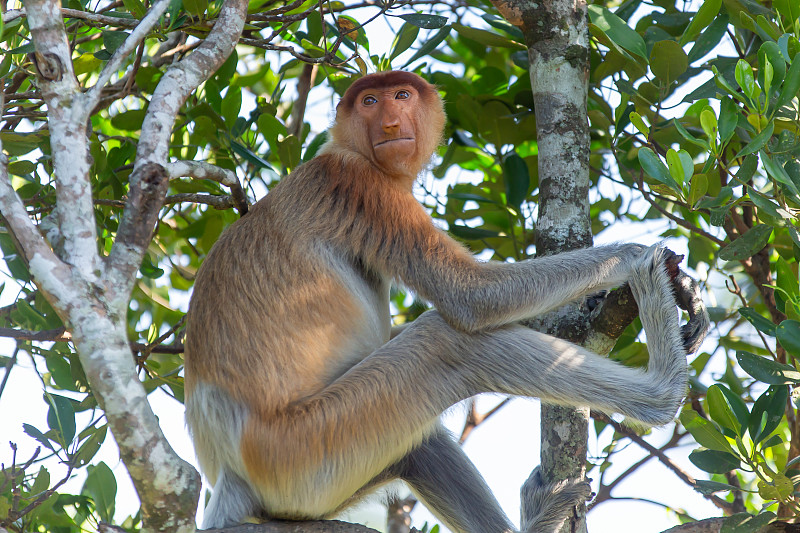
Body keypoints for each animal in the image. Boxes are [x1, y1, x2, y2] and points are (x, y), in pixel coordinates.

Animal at [184, 70, 708, 532]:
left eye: (400, 95)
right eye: (369, 102)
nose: (390, 124)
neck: (347, 149)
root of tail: (227, 471)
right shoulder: (360, 185)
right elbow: (471, 296)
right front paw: (638, 259)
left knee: (422, 443)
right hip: (301, 453)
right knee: (449, 345)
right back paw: (664, 392)